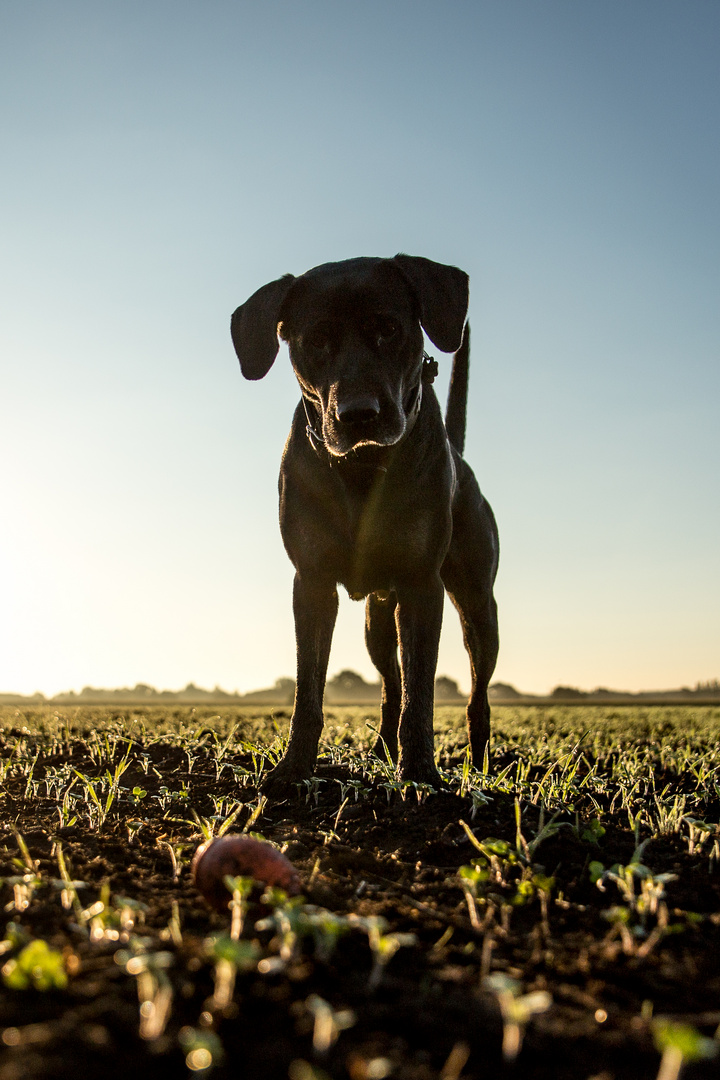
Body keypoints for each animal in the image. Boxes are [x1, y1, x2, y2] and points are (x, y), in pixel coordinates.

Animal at [232, 257, 500, 790]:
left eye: (389, 329)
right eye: (316, 340)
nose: (359, 414)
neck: (360, 469)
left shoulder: (421, 585)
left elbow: (422, 693)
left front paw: (421, 777)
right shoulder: (312, 582)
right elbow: (309, 690)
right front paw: (293, 770)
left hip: (478, 605)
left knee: (475, 691)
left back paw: (478, 762)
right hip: (378, 620)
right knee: (389, 684)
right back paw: (382, 749)